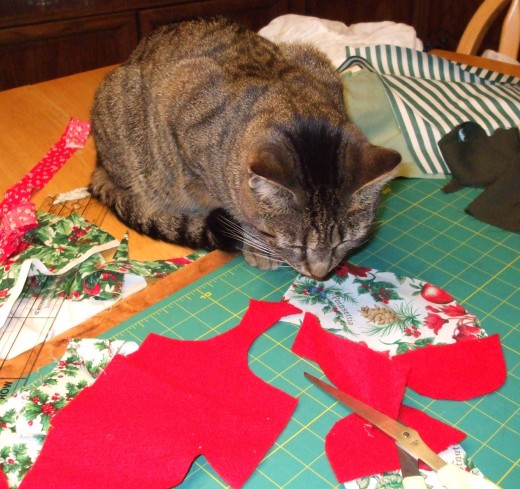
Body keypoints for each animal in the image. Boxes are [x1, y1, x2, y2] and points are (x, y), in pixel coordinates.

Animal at [89, 16, 400, 278]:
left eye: (344, 242)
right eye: (297, 246)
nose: (320, 274)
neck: (295, 108)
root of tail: (98, 163)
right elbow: (237, 207)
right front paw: (256, 244)